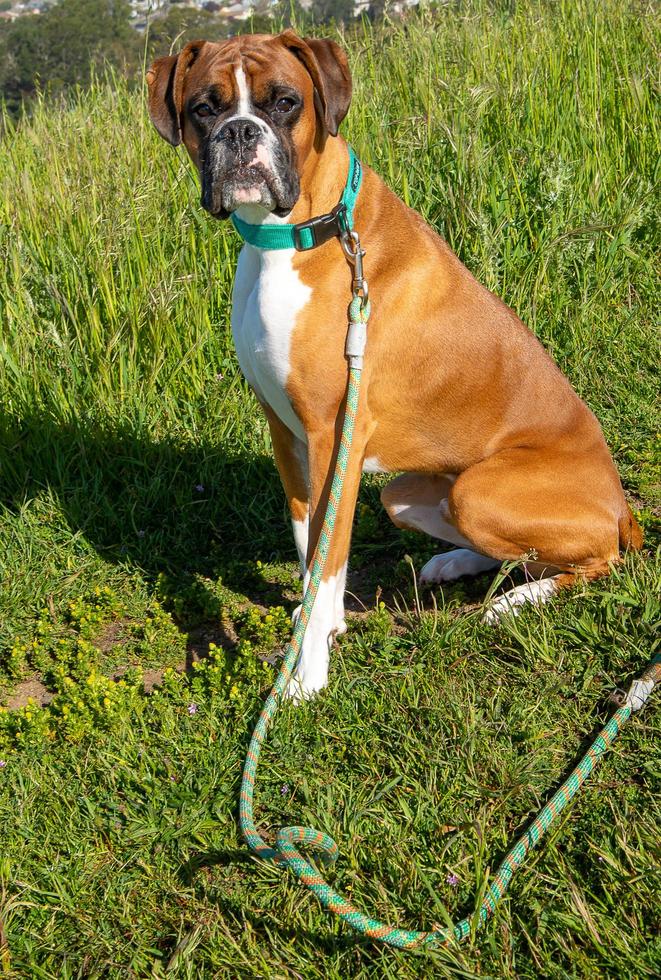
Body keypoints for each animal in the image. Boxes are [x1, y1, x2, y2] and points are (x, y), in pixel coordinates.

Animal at [147, 30, 640, 700]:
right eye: (204, 108)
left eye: (284, 102)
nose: (241, 132)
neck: (307, 231)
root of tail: (622, 505)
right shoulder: (285, 432)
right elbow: (308, 542)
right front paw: (317, 624)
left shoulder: (334, 438)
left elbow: (327, 557)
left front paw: (308, 673)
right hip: (408, 492)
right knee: (510, 546)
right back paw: (457, 562)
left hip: (484, 492)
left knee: (595, 560)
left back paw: (516, 601)